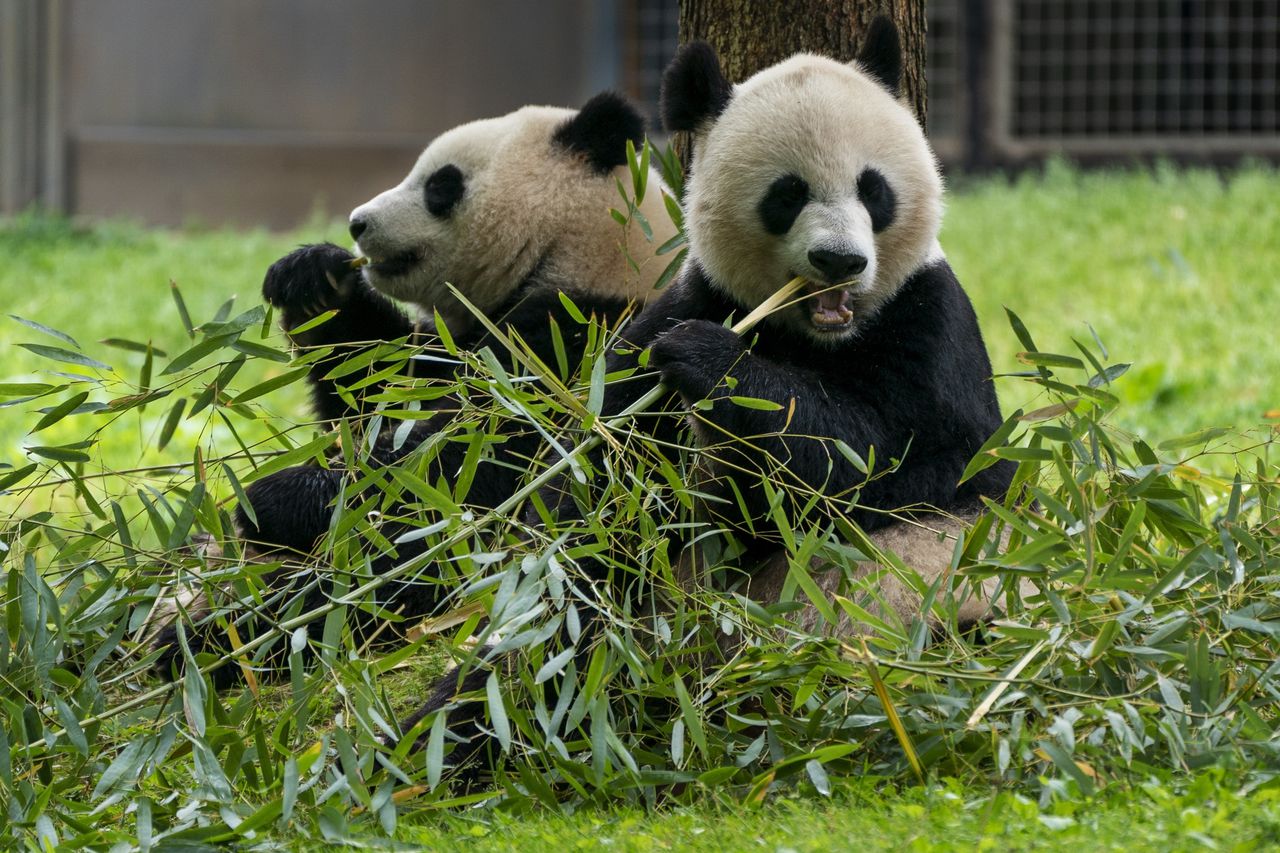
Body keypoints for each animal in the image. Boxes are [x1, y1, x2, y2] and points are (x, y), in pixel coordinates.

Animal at [151, 91, 680, 686]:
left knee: (368, 587)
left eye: (440, 186)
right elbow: (371, 392)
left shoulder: (581, 345)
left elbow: (466, 468)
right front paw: (312, 278)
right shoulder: (454, 341)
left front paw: (272, 498)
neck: (584, 253)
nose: (357, 223)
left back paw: (208, 642)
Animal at [399, 16, 1018, 778]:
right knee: (557, 644)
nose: (840, 262)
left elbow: (885, 461)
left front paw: (712, 363)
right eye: (788, 194)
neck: (813, 335)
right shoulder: (679, 310)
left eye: (874, 190)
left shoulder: (931, 328)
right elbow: (604, 499)